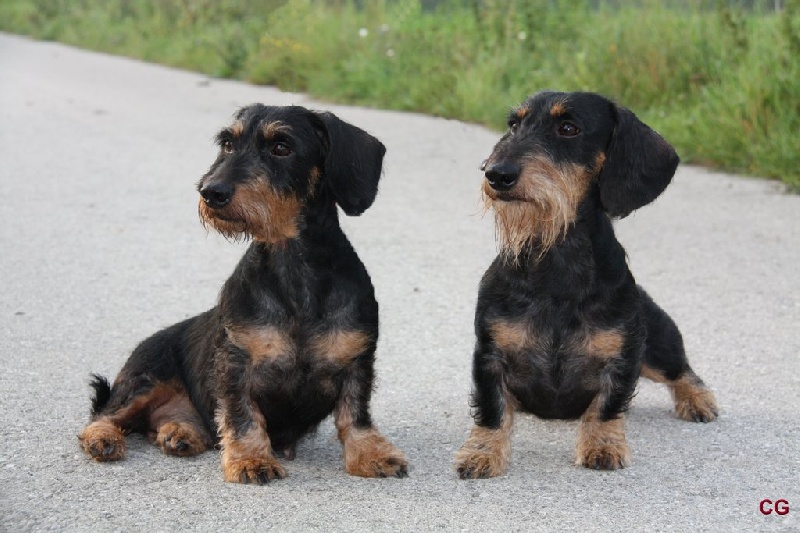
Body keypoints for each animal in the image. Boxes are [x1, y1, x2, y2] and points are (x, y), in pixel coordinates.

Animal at [77, 105, 406, 482]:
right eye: (228, 144)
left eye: (281, 147)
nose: (210, 192)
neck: (295, 269)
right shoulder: (235, 364)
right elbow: (242, 416)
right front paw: (251, 460)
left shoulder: (357, 362)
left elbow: (356, 415)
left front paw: (371, 454)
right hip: (145, 380)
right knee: (105, 414)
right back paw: (103, 438)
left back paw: (181, 432)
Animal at [456, 91, 720, 478]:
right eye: (514, 124)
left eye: (569, 128)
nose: (496, 174)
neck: (557, 261)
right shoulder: (490, 355)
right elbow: (492, 409)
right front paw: (482, 453)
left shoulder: (623, 358)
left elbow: (607, 407)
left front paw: (603, 446)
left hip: (657, 344)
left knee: (681, 370)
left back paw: (699, 399)